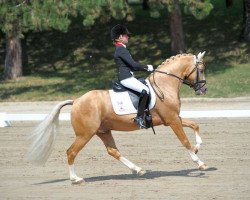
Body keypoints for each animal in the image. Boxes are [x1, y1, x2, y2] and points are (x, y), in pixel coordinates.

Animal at [26, 52, 207, 184]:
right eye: (202, 69)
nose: (203, 90)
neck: (164, 85)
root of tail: (76, 101)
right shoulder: (172, 120)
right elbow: (184, 141)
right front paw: (199, 163)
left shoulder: (173, 118)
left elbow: (195, 124)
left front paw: (198, 147)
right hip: (85, 134)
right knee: (71, 152)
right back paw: (76, 179)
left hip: (103, 131)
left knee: (113, 151)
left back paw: (137, 169)